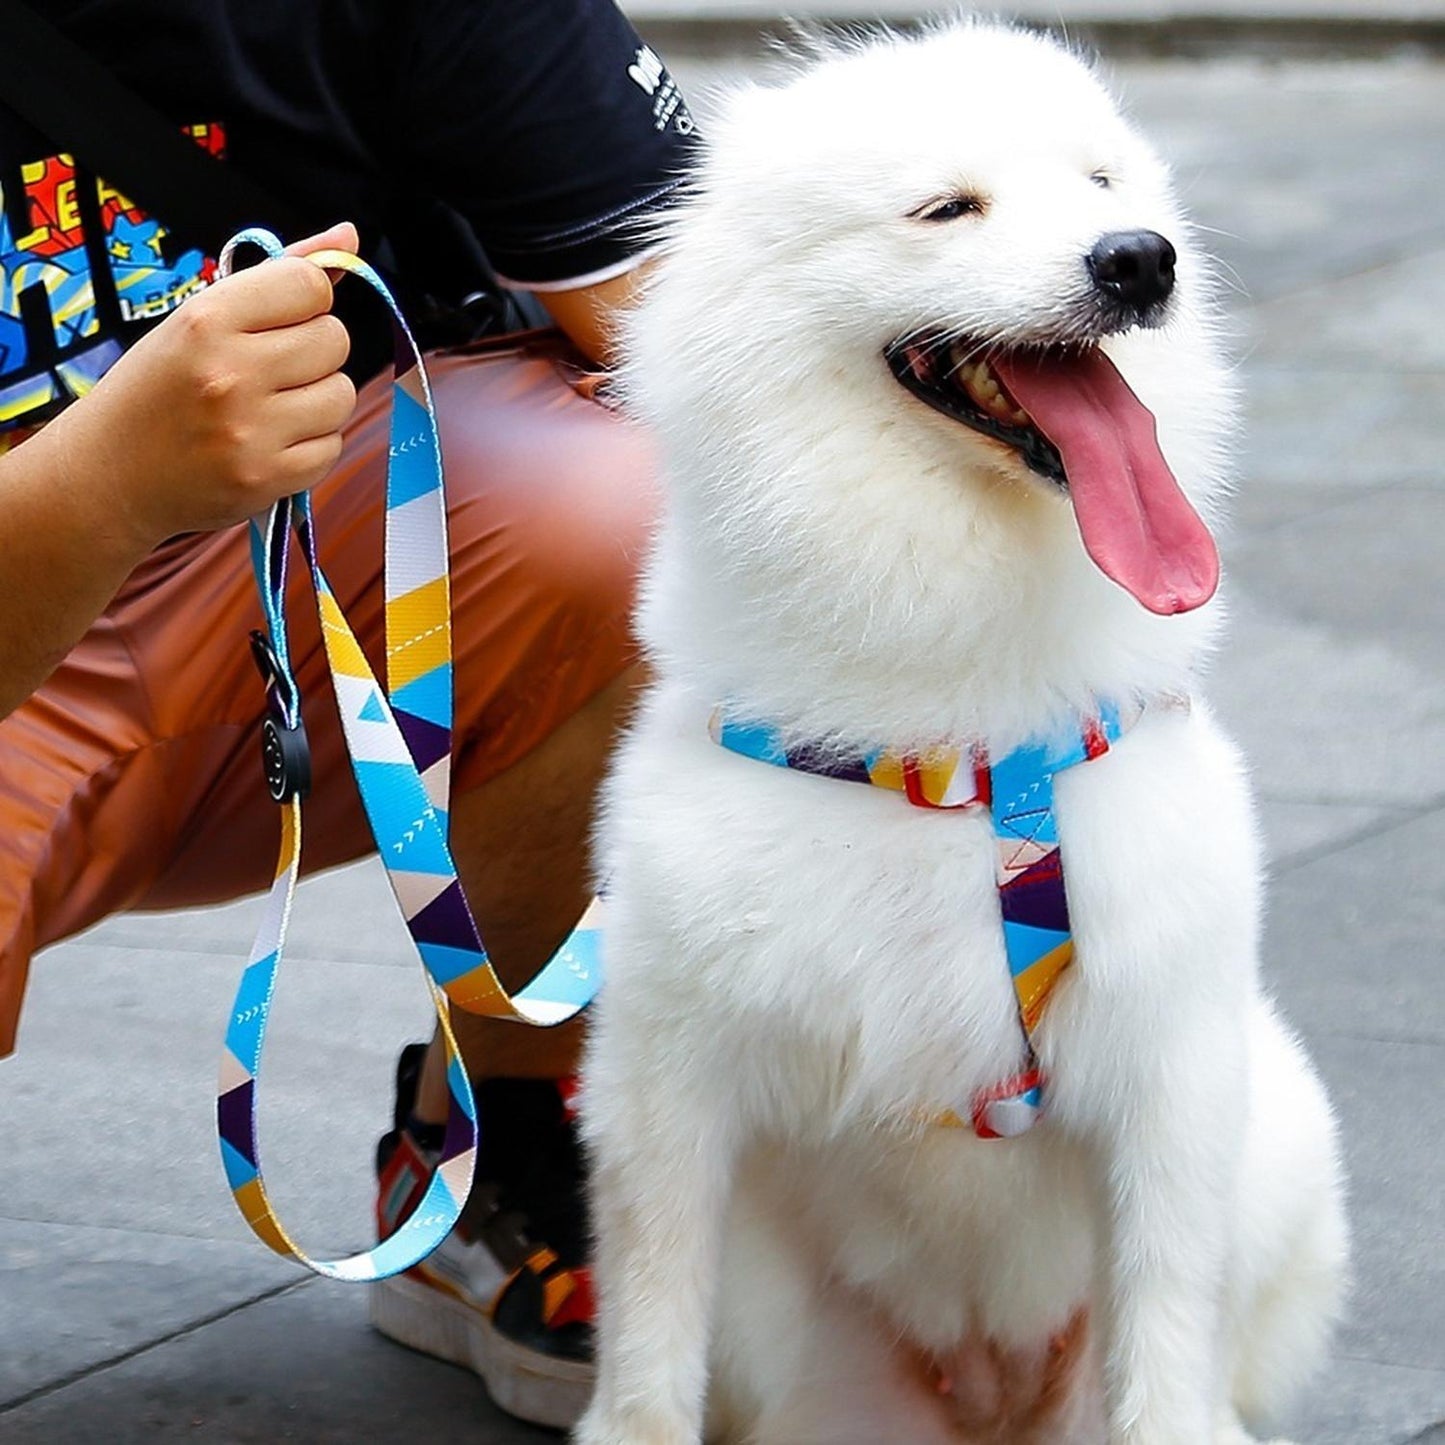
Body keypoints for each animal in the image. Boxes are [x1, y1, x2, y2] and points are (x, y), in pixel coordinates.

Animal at [572, 22, 1340, 1445]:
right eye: (945, 209)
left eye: (1101, 184)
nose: (1137, 256)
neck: (954, 758)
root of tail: (989, 1396)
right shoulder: (663, 1069)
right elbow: (648, 1330)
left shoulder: (1171, 1065)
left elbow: (1164, 1329)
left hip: (1283, 1130)